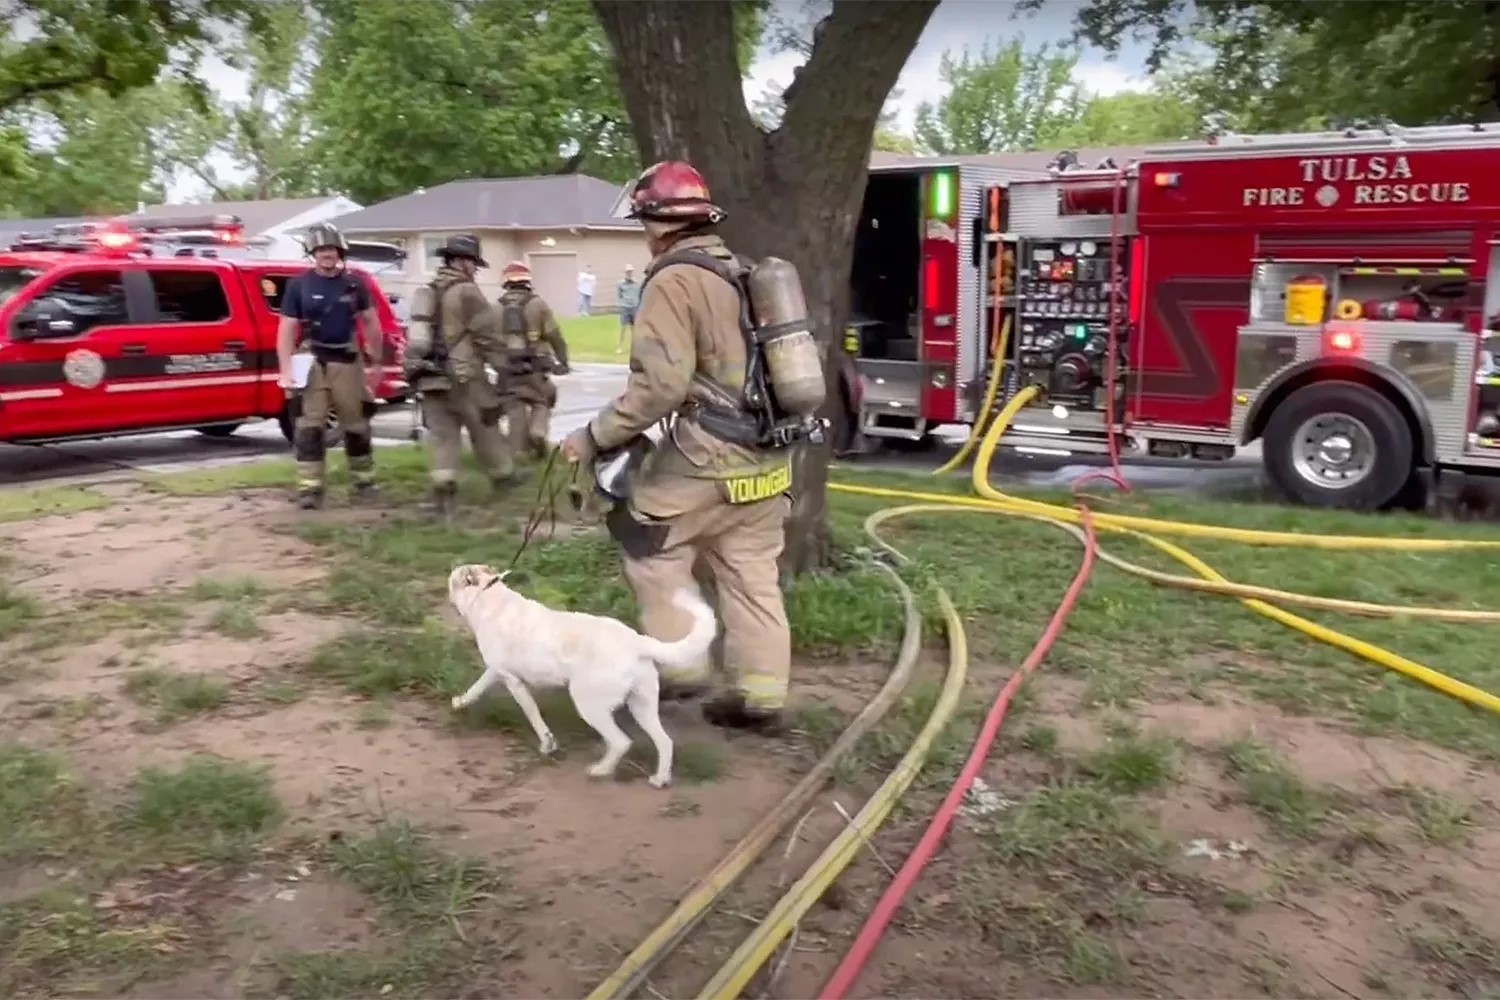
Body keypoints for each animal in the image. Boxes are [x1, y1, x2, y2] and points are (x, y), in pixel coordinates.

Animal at [444, 563, 714, 791]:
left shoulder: (514, 682)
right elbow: (476, 688)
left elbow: (534, 717)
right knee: (665, 741)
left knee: (621, 742)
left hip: (589, 704)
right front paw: (460, 702)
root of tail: (637, 640)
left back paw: (600, 770)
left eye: (452, 580)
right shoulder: (496, 671)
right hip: (641, 706)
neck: (489, 598)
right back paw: (660, 779)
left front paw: (547, 745)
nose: (448, 585)